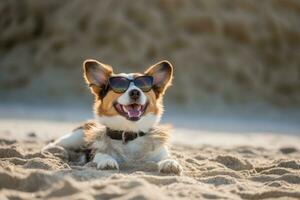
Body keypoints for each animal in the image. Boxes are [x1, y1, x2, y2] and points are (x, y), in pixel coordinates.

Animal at [43, 59, 182, 175]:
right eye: (120, 86)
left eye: (143, 85)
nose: (135, 92)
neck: (129, 132)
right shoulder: (95, 152)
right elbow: (101, 155)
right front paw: (107, 161)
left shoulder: (160, 151)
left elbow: (167, 157)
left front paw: (170, 162)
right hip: (76, 136)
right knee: (56, 143)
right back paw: (52, 150)